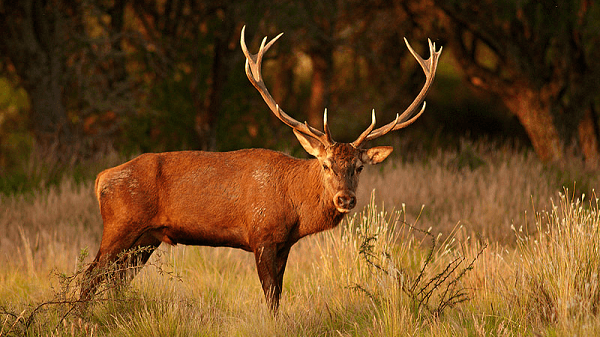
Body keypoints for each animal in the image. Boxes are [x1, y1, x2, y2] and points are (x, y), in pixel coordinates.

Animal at [81, 25, 440, 310]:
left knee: (116, 281)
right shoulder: (261, 235)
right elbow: (269, 297)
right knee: (90, 277)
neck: (295, 207)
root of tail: (100, 179)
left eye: (359, 167)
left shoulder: (284, 244)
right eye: (326, 165)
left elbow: (278, 296)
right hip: (120, 226)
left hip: (146, 239)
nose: (345, 199)